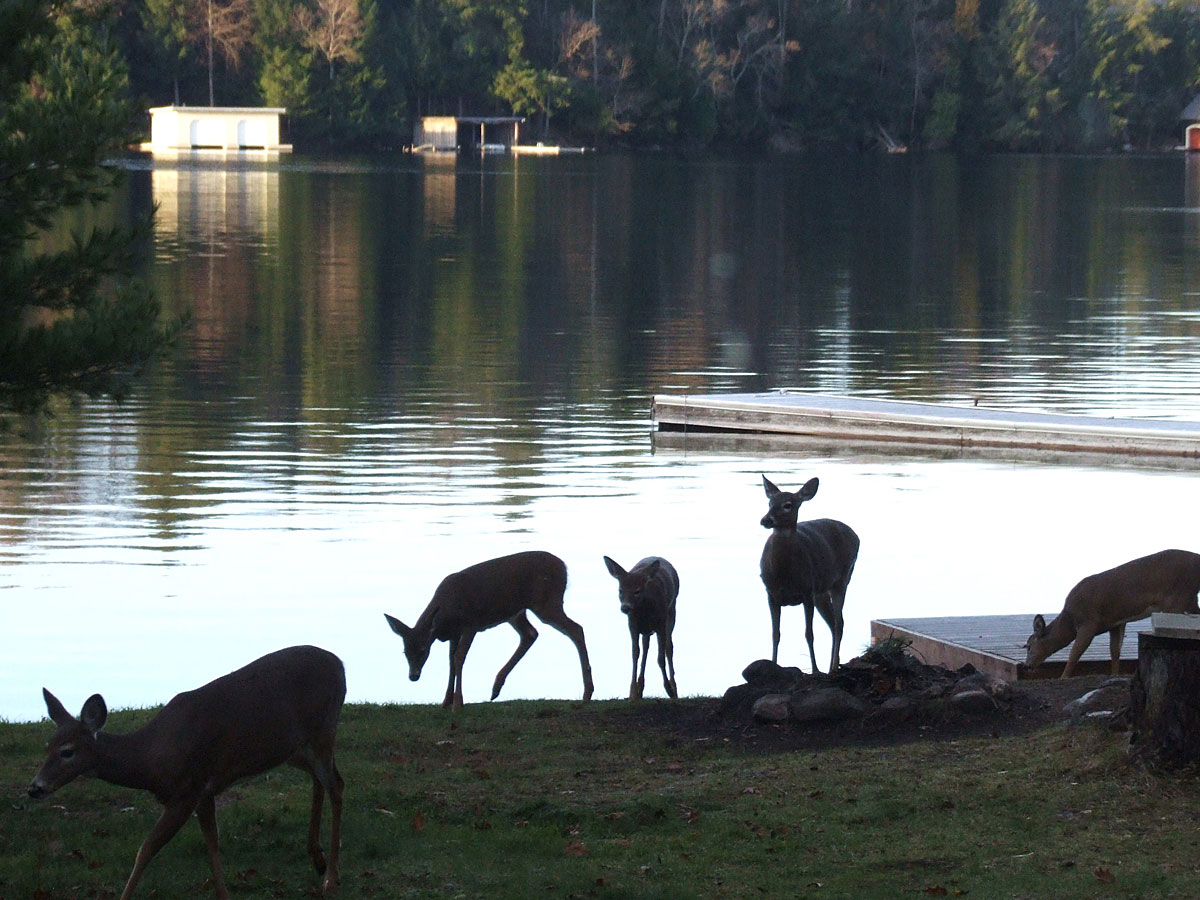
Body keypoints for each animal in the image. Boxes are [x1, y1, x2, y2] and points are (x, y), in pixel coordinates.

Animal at [27, 648, 348, 900]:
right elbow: (211, 843)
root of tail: (340, 664)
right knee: (321, 779)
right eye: (47, 746)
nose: (35, 788)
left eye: (67, 751)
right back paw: (317, 858)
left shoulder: (186, 791)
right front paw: (223, 894)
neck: (148, 759)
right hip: (293, 748)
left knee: (337, 784)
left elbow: (146, 850)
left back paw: (331, 879)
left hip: (323, 728)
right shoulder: (204, 792)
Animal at [381, 549, 592, 710]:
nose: (413, 676)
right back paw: (496, 688)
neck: (445, 616)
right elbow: (450, 662)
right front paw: (446, 701)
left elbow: (459, 658)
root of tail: (564, 567)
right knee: (530, 634)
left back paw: (587, 693)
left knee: (576, 629)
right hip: (516, 612)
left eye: (423, 650)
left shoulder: (470, 624)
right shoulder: (454, 633)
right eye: (405, 651)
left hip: (546, 602)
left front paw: (458, 703)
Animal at [604, 556, 681, 696]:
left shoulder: (661, 623)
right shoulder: (632, 624)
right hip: (647, 629)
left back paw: (673, 687)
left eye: (637, 591)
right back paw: (640, 686)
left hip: (671, 611)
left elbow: (660, 657)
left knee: (669, 647)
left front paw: (668, 689)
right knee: (646, 645)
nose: (625, 607)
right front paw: (632, 691)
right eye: (620, 591)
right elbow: (635, 653)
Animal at [763, 475, 859, 672]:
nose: (766, 520)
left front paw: (815, 670)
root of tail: (856, 536)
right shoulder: (770, 594)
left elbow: (809, 634)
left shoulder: (807, 592)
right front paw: (773, 665)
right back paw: (833, 666)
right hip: (821, 593)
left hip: (842, 579)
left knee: (839, 623)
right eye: (769, 503)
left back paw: (832, 668)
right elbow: (775, 634)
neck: (784, 576)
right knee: (834, 623)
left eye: (788, 505)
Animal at [1022, 547, 1200, 681]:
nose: (1026, 665)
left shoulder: (1089, 622)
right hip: (1188, 599)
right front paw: (1114, 674)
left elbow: (1075, 653)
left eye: (1029, 645)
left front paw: (1063, 677)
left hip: (1178, 598)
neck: (1070, 620)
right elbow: (1114, 650)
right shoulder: (1116, 622)